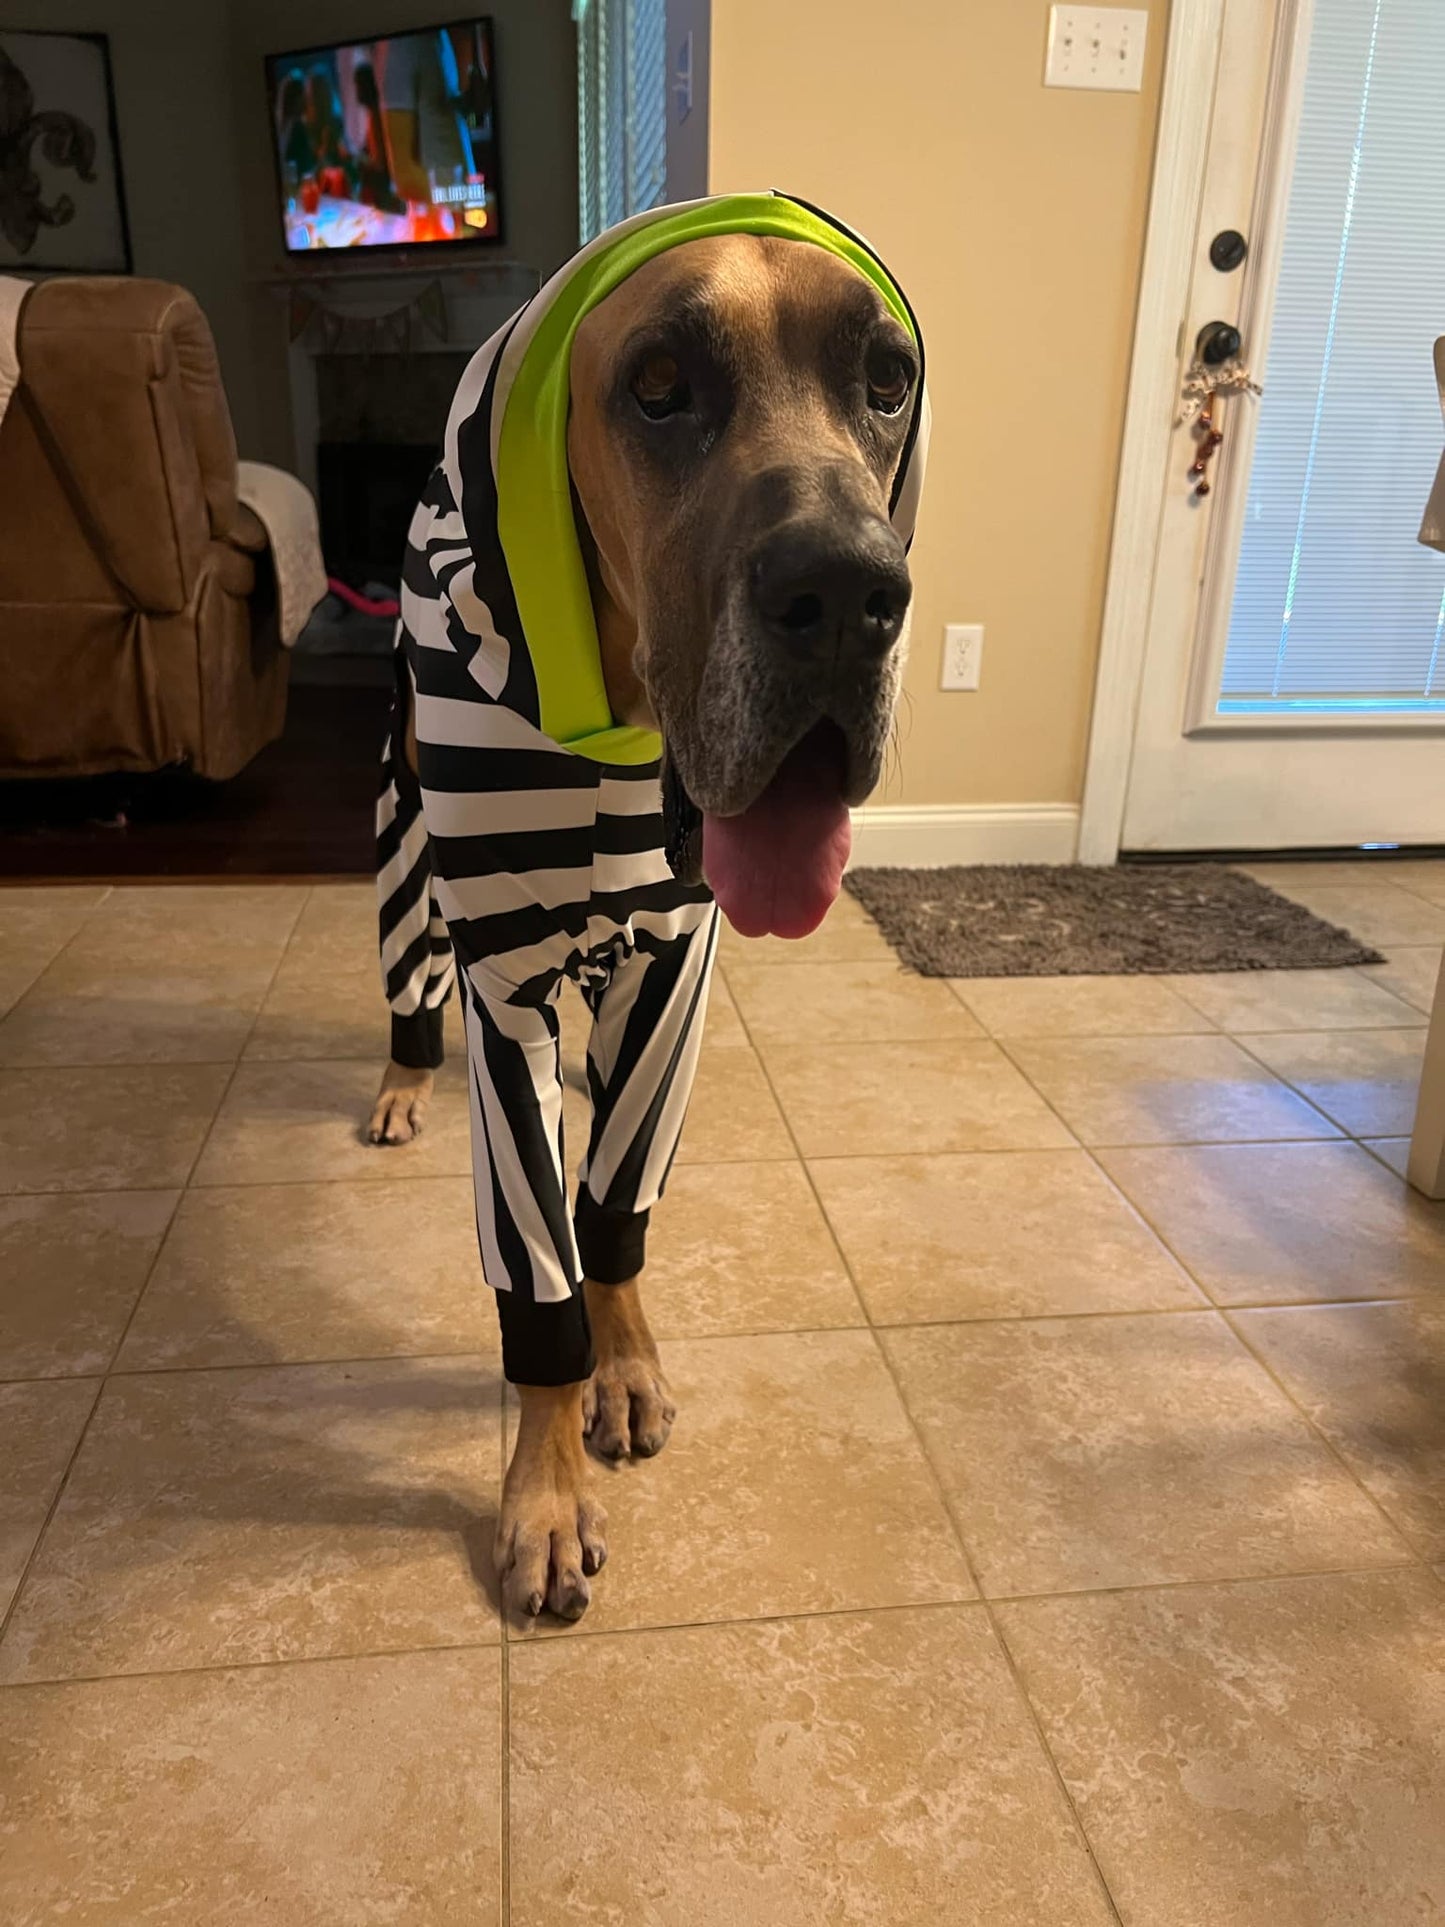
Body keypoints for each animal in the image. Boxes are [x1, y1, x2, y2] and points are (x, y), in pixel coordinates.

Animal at [362, 191, 928, 1610]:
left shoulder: (672, 977)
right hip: (398, 840)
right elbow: (541, 1275)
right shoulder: (506, 991)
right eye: (659, 387)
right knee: (408, 973)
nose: (849, 594)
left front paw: (619, 1369)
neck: (615, 733)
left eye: (885, 380)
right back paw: (400, 1076)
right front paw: (543, 1490)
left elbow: (611, 1213)